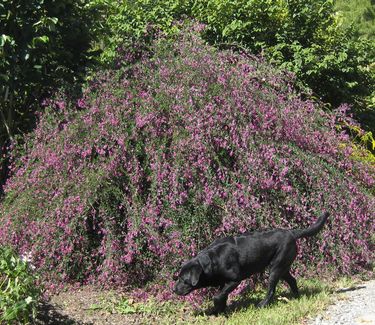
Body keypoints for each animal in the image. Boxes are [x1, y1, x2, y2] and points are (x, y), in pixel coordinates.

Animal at [173, 211, 328, 312]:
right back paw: (296, 297)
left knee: (271, 289)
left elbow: (218, 296)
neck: (211, 260)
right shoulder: (223, 282)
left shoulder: (235, 280)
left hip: (276, 267)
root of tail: (291, 233)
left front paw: (217, 308)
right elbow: (222, 295)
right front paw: (219, 311)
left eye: (184, 280)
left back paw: (262, 305)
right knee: (292, 280)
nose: (174, 289)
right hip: (282, 267)